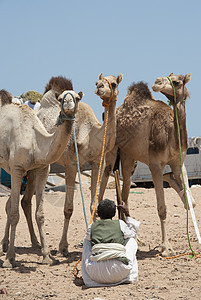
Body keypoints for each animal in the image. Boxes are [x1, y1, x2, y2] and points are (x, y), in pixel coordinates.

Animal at [0, 87, 83, 268]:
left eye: (77, 97)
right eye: (60, 98)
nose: (68, 103)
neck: (35, 141)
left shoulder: (42, 169)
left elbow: (40, 214)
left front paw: (46, 256)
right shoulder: (17, 169)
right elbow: (15, 213)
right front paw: (9, 259)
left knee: (13, 204)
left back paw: (9, 243)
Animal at [98, 72, 196, 255]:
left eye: (176, 81)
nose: (157, 82)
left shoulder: (178, 162)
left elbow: (190, 202)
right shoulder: (155, 164)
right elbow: (162, 208)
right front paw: (166, 247)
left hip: (129, 157)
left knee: (125, 193)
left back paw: (136, 238)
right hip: (112, 149)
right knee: (105, 177)